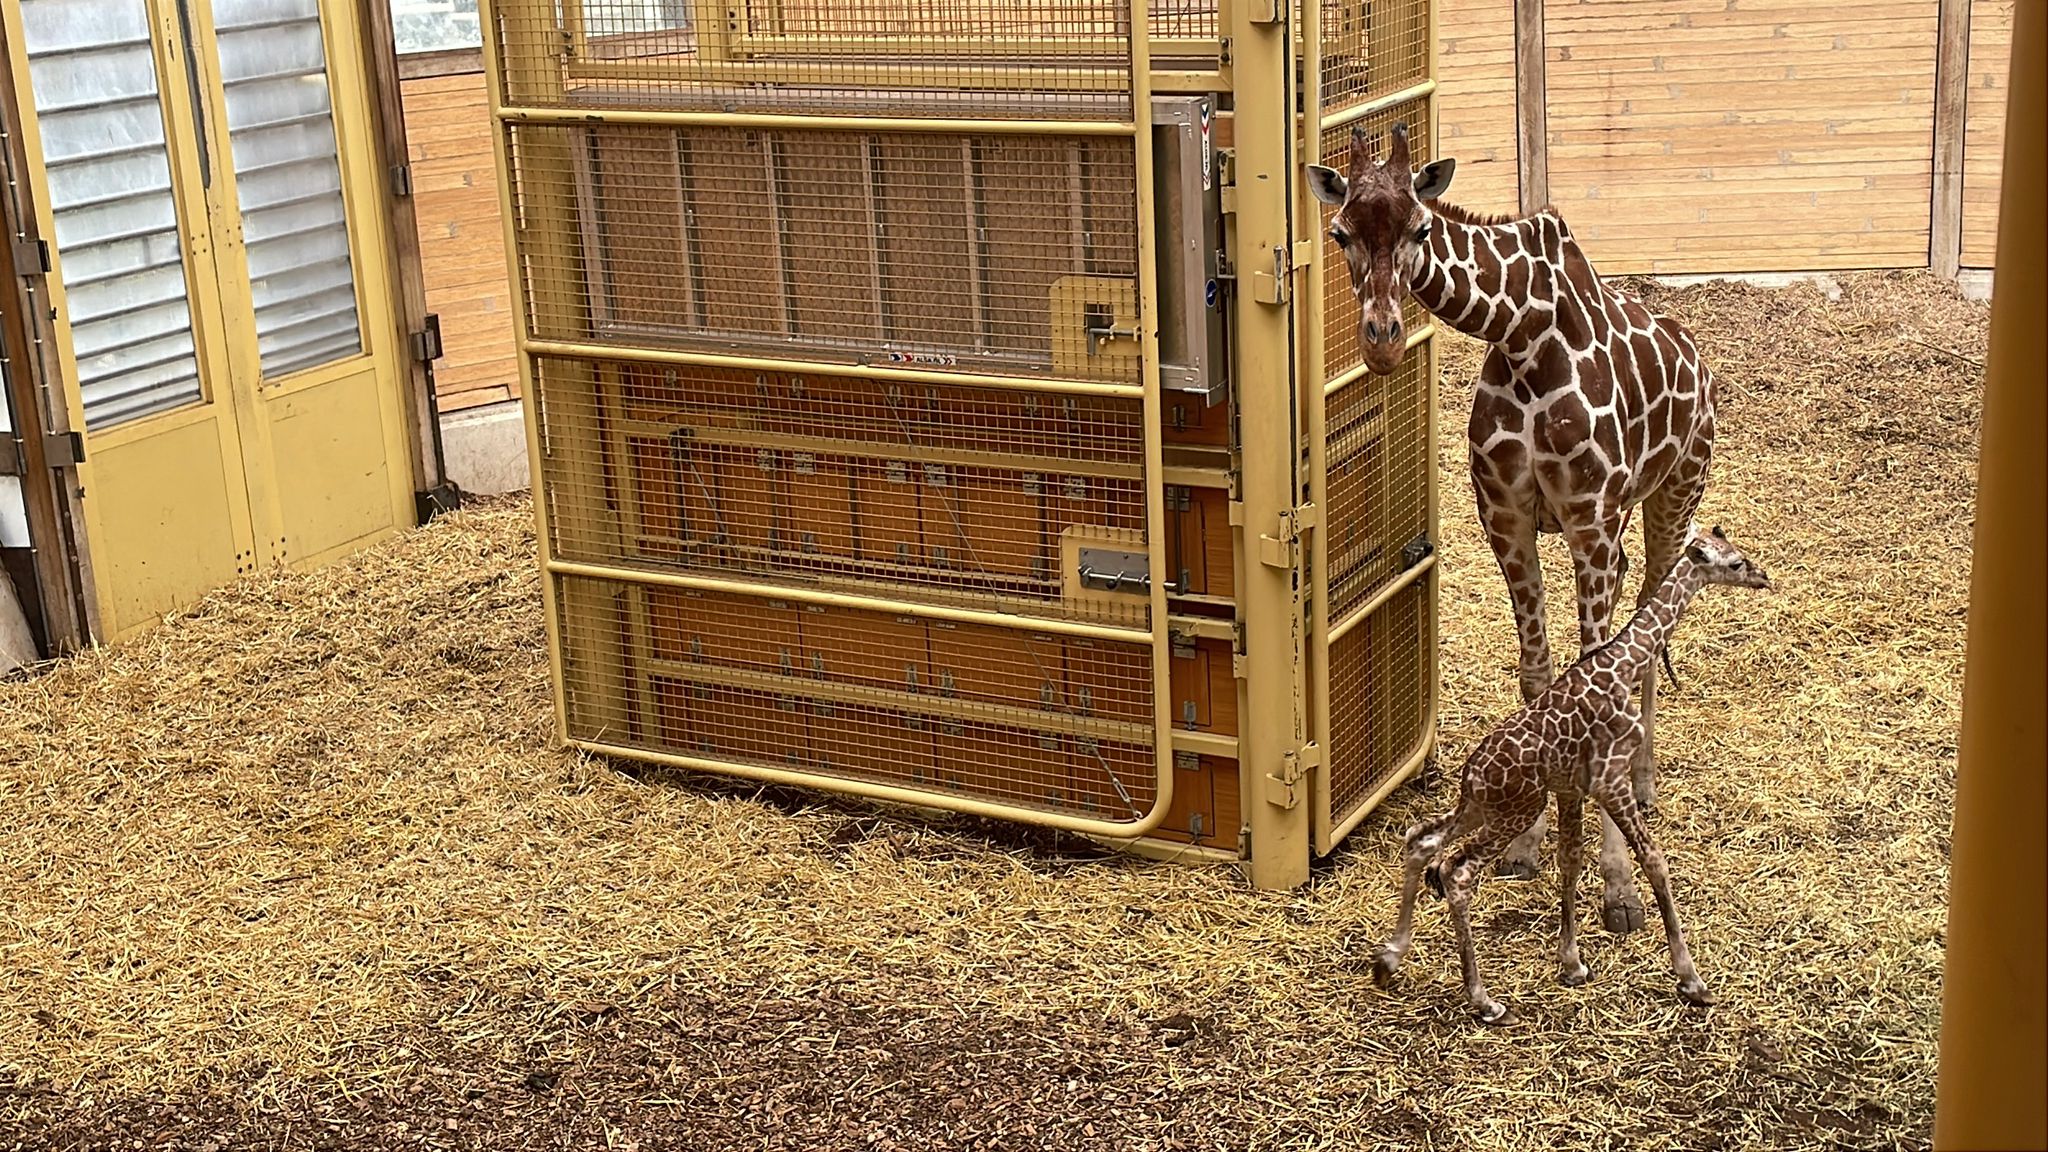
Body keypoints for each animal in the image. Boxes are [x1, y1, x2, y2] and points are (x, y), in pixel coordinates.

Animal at [1306, 123, 1720, 935]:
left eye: (1420, 226)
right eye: (1340, 232)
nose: (1382, 340)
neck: (1525, 333)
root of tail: (1693, 350)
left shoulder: (1590, 521)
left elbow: (1595, 680)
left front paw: (1618, 890)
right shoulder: (1506, 519)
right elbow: (1539, 673)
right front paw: (1525, 842)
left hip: (1673, 495)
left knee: (1653, 622)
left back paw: (1645, 782)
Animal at [1370, 525, 1770, 1024]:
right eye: (1735, 563)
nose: (1763, 577)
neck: (1626, 664)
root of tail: (1471, 779)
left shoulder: (1570, 785)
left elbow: (1571, 862)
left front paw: (1573, 964)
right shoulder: (1609, 779)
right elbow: (1654, 861)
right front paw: (1692, 981)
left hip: (1483, 810)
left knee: (1422, 841)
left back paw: (1388, 961)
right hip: (1516, 810)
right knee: (1458, 873)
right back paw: (1484, 1000)